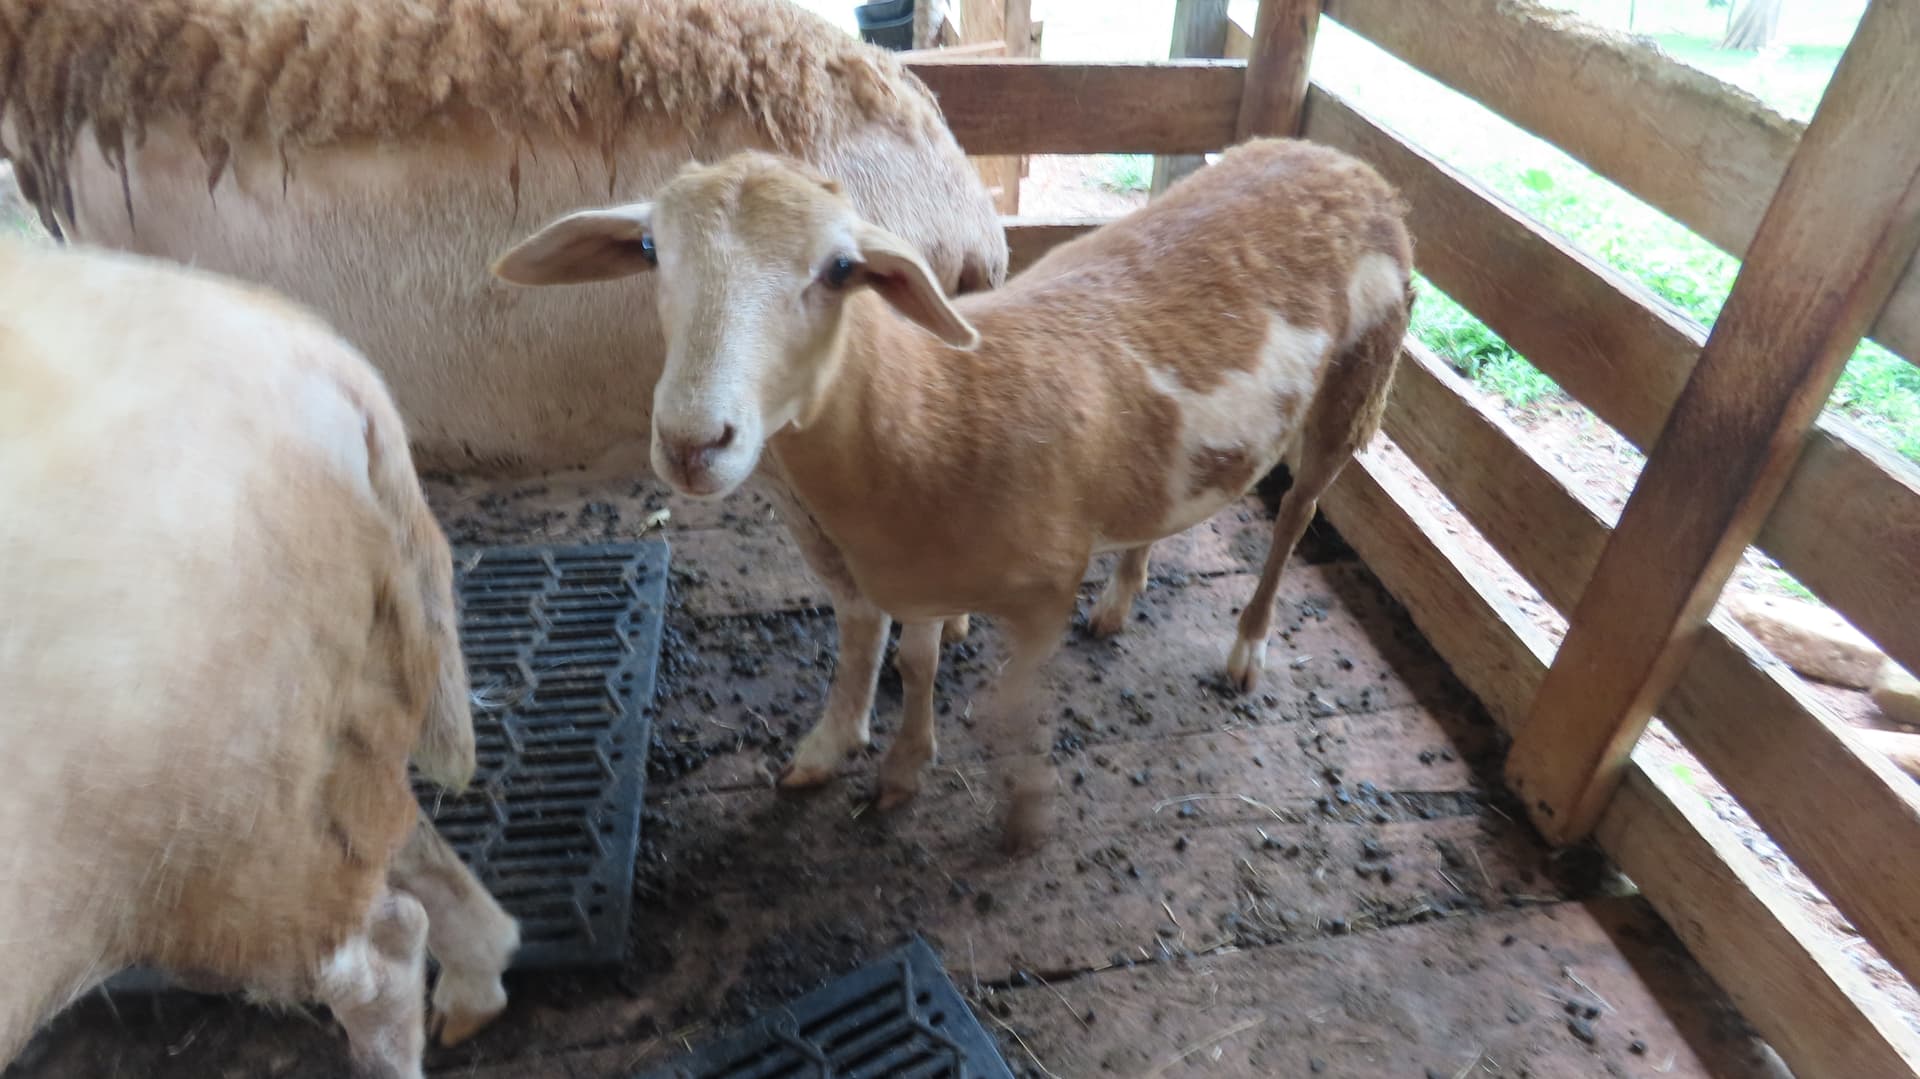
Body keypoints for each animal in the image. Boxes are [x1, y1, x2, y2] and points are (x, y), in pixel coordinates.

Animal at [0, 239, 520, 1076]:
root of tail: (315, 363)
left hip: (198, 814)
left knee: (380, 953)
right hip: (296, 724)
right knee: (397, 848)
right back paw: (477, 976)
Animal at [488, 137, 1414, 852]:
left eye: (840, 268)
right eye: (649, 250)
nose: (690, 442)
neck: (929, 411)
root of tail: (1341, 157)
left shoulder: (1041, 585)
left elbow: (1008, 701)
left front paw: (1023, 813)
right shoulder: (910, 571)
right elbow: (906, 659)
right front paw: (879, 761)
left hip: (1361, 379)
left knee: (1295, 514)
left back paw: (1247, 645)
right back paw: (1122, 596)